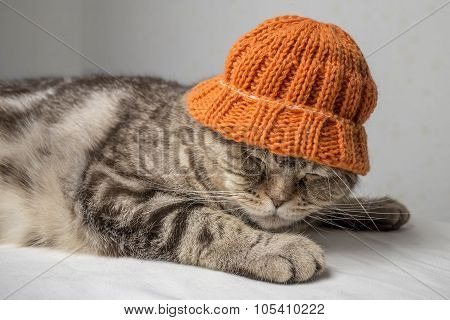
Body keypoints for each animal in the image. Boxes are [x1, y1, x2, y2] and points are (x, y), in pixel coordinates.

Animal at [0, 77, 408, 282]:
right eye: (252, 159)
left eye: (313, 174)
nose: (278, 199)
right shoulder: (111, 186)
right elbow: (199, 221)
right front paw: (277, 247)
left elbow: (319, 211)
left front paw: (377, 209)